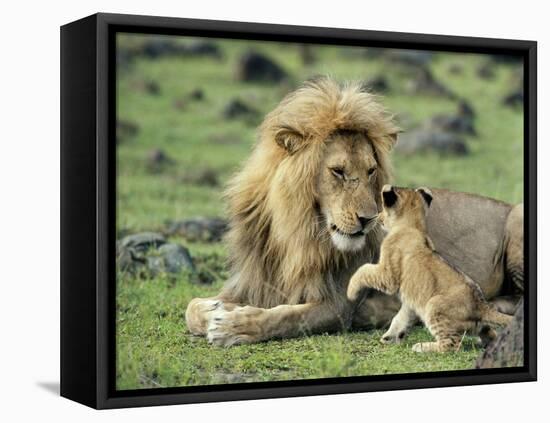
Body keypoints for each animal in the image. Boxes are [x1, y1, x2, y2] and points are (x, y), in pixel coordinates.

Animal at [350, 186, 512, 354]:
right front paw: (390, 337)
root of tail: (481, 305)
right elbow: (401, 316)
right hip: (479, 325)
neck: (413, 226)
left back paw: (422, 346)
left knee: (452, 345)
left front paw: (351, 292)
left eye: (383, 209)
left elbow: (363, 270)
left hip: (433, 306)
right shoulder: (412, 301)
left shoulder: (389, 276)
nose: (378, 216)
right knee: (491, 335)